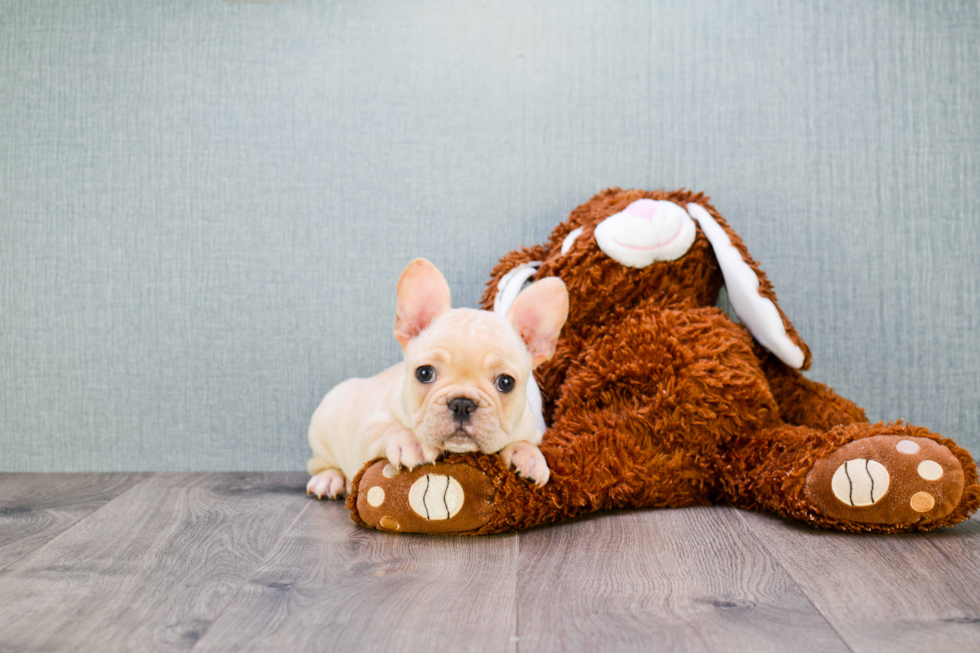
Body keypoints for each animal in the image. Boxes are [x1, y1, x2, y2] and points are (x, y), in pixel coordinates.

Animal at [306, 258, 568, 496]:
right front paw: (412, 443)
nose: (462, 404)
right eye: (424, 373)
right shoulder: (367, 434)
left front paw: (530, 458)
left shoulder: (531, 430)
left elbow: (525, 442)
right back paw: (328, 480)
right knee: (319, 464)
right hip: (322, 430)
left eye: (506, 382)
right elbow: (388, 428)